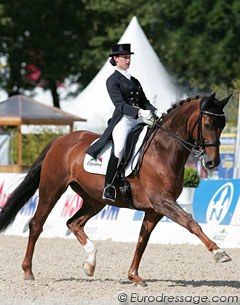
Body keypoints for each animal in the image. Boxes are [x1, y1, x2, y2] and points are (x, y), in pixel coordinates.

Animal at [0, 92, 232, 284]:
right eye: (208, 124)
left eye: (222, 125)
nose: (212, 163)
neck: (163, 150)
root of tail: (60, 140)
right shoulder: (162, 202)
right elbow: (191, 223)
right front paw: (219, 252)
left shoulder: (154, 210)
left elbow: (142, 241)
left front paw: (134, 276)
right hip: (52, 189)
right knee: (36, 225)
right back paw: (28, 271)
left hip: (95, 199)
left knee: (74, 223)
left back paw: (90, 264)